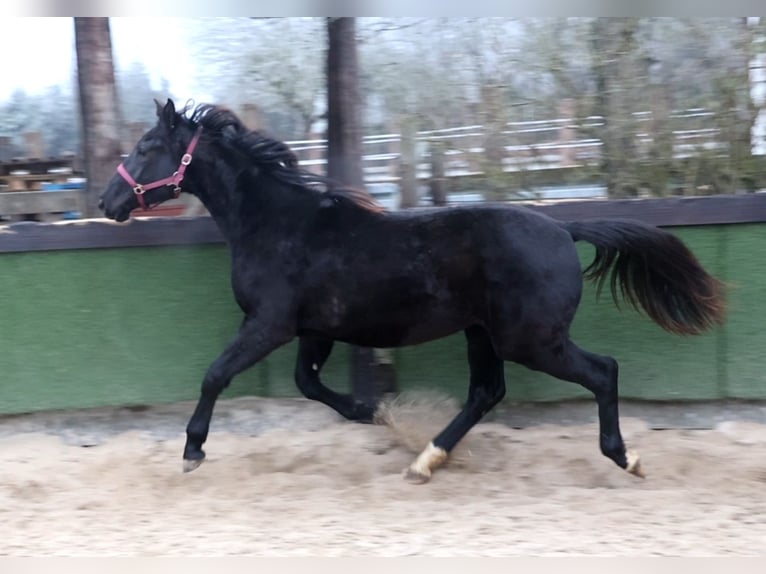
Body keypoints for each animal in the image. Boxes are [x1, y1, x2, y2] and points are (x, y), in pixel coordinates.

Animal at [100, 101, 728, 484]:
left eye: (147, 147)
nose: (109, 201)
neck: (278, 223)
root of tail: (562, 228)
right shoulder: (313, 330)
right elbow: (308, 384)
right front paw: (375, 412)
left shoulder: (268, 324)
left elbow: (216, 374)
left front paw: (192, 451)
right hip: (485, 334)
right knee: (486, 392)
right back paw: (426, 459)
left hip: (531, 339)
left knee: (603, 371)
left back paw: (626, 457)